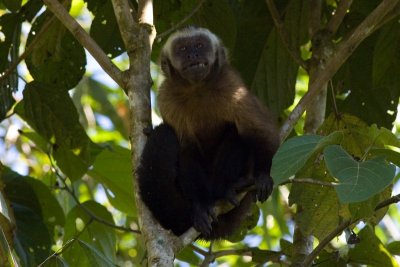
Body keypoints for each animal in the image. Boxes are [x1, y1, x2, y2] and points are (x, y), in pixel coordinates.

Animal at [138, 26, 278, 241]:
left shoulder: (233, 89)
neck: (198, 89)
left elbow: (262, 131)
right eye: (182, 48)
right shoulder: (167, 99)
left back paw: (226, 188)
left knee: (236, 132)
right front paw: (199, 208)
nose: (192, 54)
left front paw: (263, 175)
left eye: (199, 45)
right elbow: (187, 150)